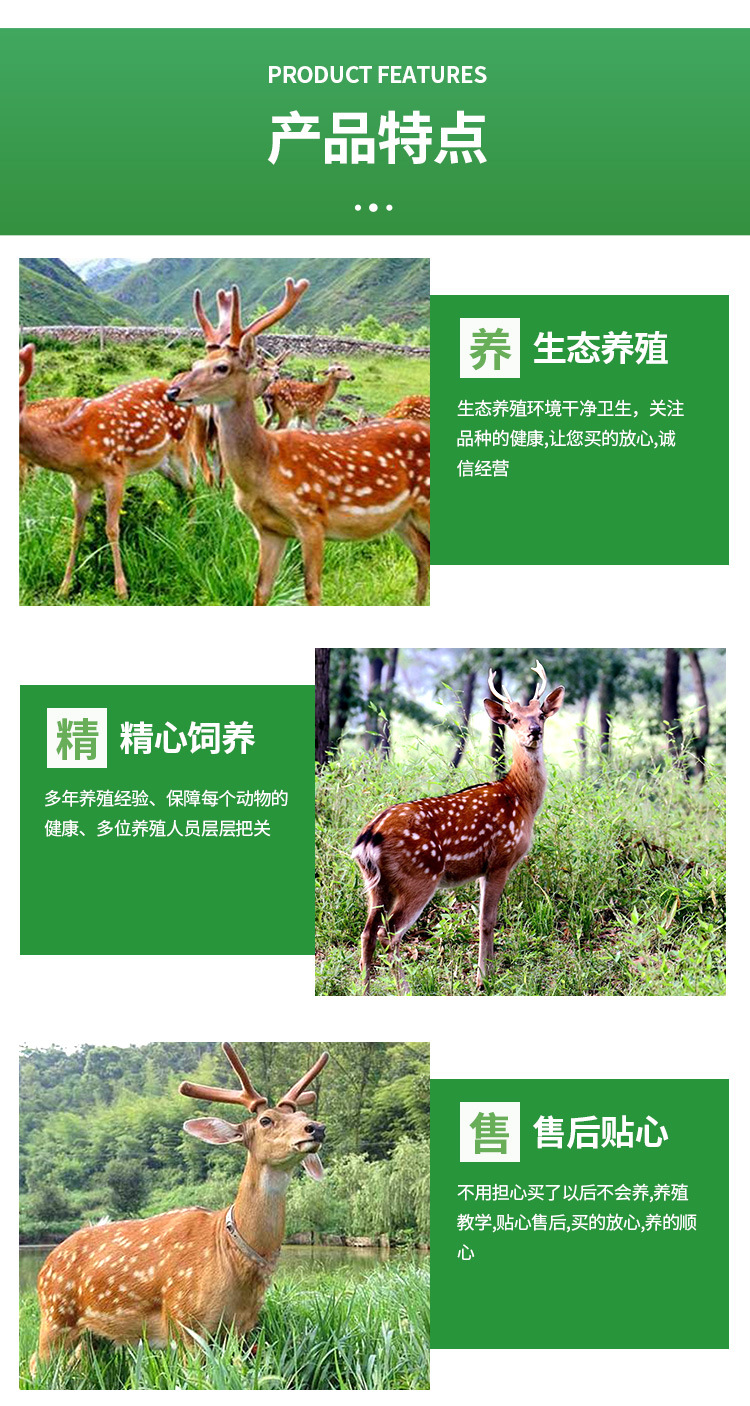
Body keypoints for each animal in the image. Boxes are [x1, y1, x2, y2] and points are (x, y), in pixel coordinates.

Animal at [19, 345, 210, 599]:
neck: (78, 451)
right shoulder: (80, 485)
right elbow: (76, 532)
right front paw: (64, 587)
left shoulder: (116, 473)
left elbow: (112, 528)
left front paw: (121, 589)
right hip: (159, 462)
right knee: (181, 486)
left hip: (180, 447)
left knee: (192, 485)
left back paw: (190, 531)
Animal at [30, 1044, 329, 1377]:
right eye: (266, 1120)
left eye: (303, 1114)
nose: (316, 1128)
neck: (231, 1254)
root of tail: (48, 1260)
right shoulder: (183, 1319)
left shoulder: (241, 1329)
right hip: (55, 1313)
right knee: (36, 1364)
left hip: (94, 1335)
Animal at [167, 279, 430, 605]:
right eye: (196, 362)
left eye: (223, 367)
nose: (173, 391)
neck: (264, 466)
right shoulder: (268, 530)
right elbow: (261, 590)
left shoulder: (311, 518)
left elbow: (312, 590)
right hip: (403, 517)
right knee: (423, 554)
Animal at [353, 661, 565, 994]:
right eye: (513, 718)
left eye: (541, 714)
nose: (534, 731)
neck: (520, 798)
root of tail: (368, 838)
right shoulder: (501, 858)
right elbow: (487, 921)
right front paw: (484, 980)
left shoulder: (482, 869)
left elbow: (482, 919)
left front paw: (486, 974)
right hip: (419, 877)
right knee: (390, 933)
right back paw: (405, 989)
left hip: (375, 884)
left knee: (366, 932)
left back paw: (365, 988)